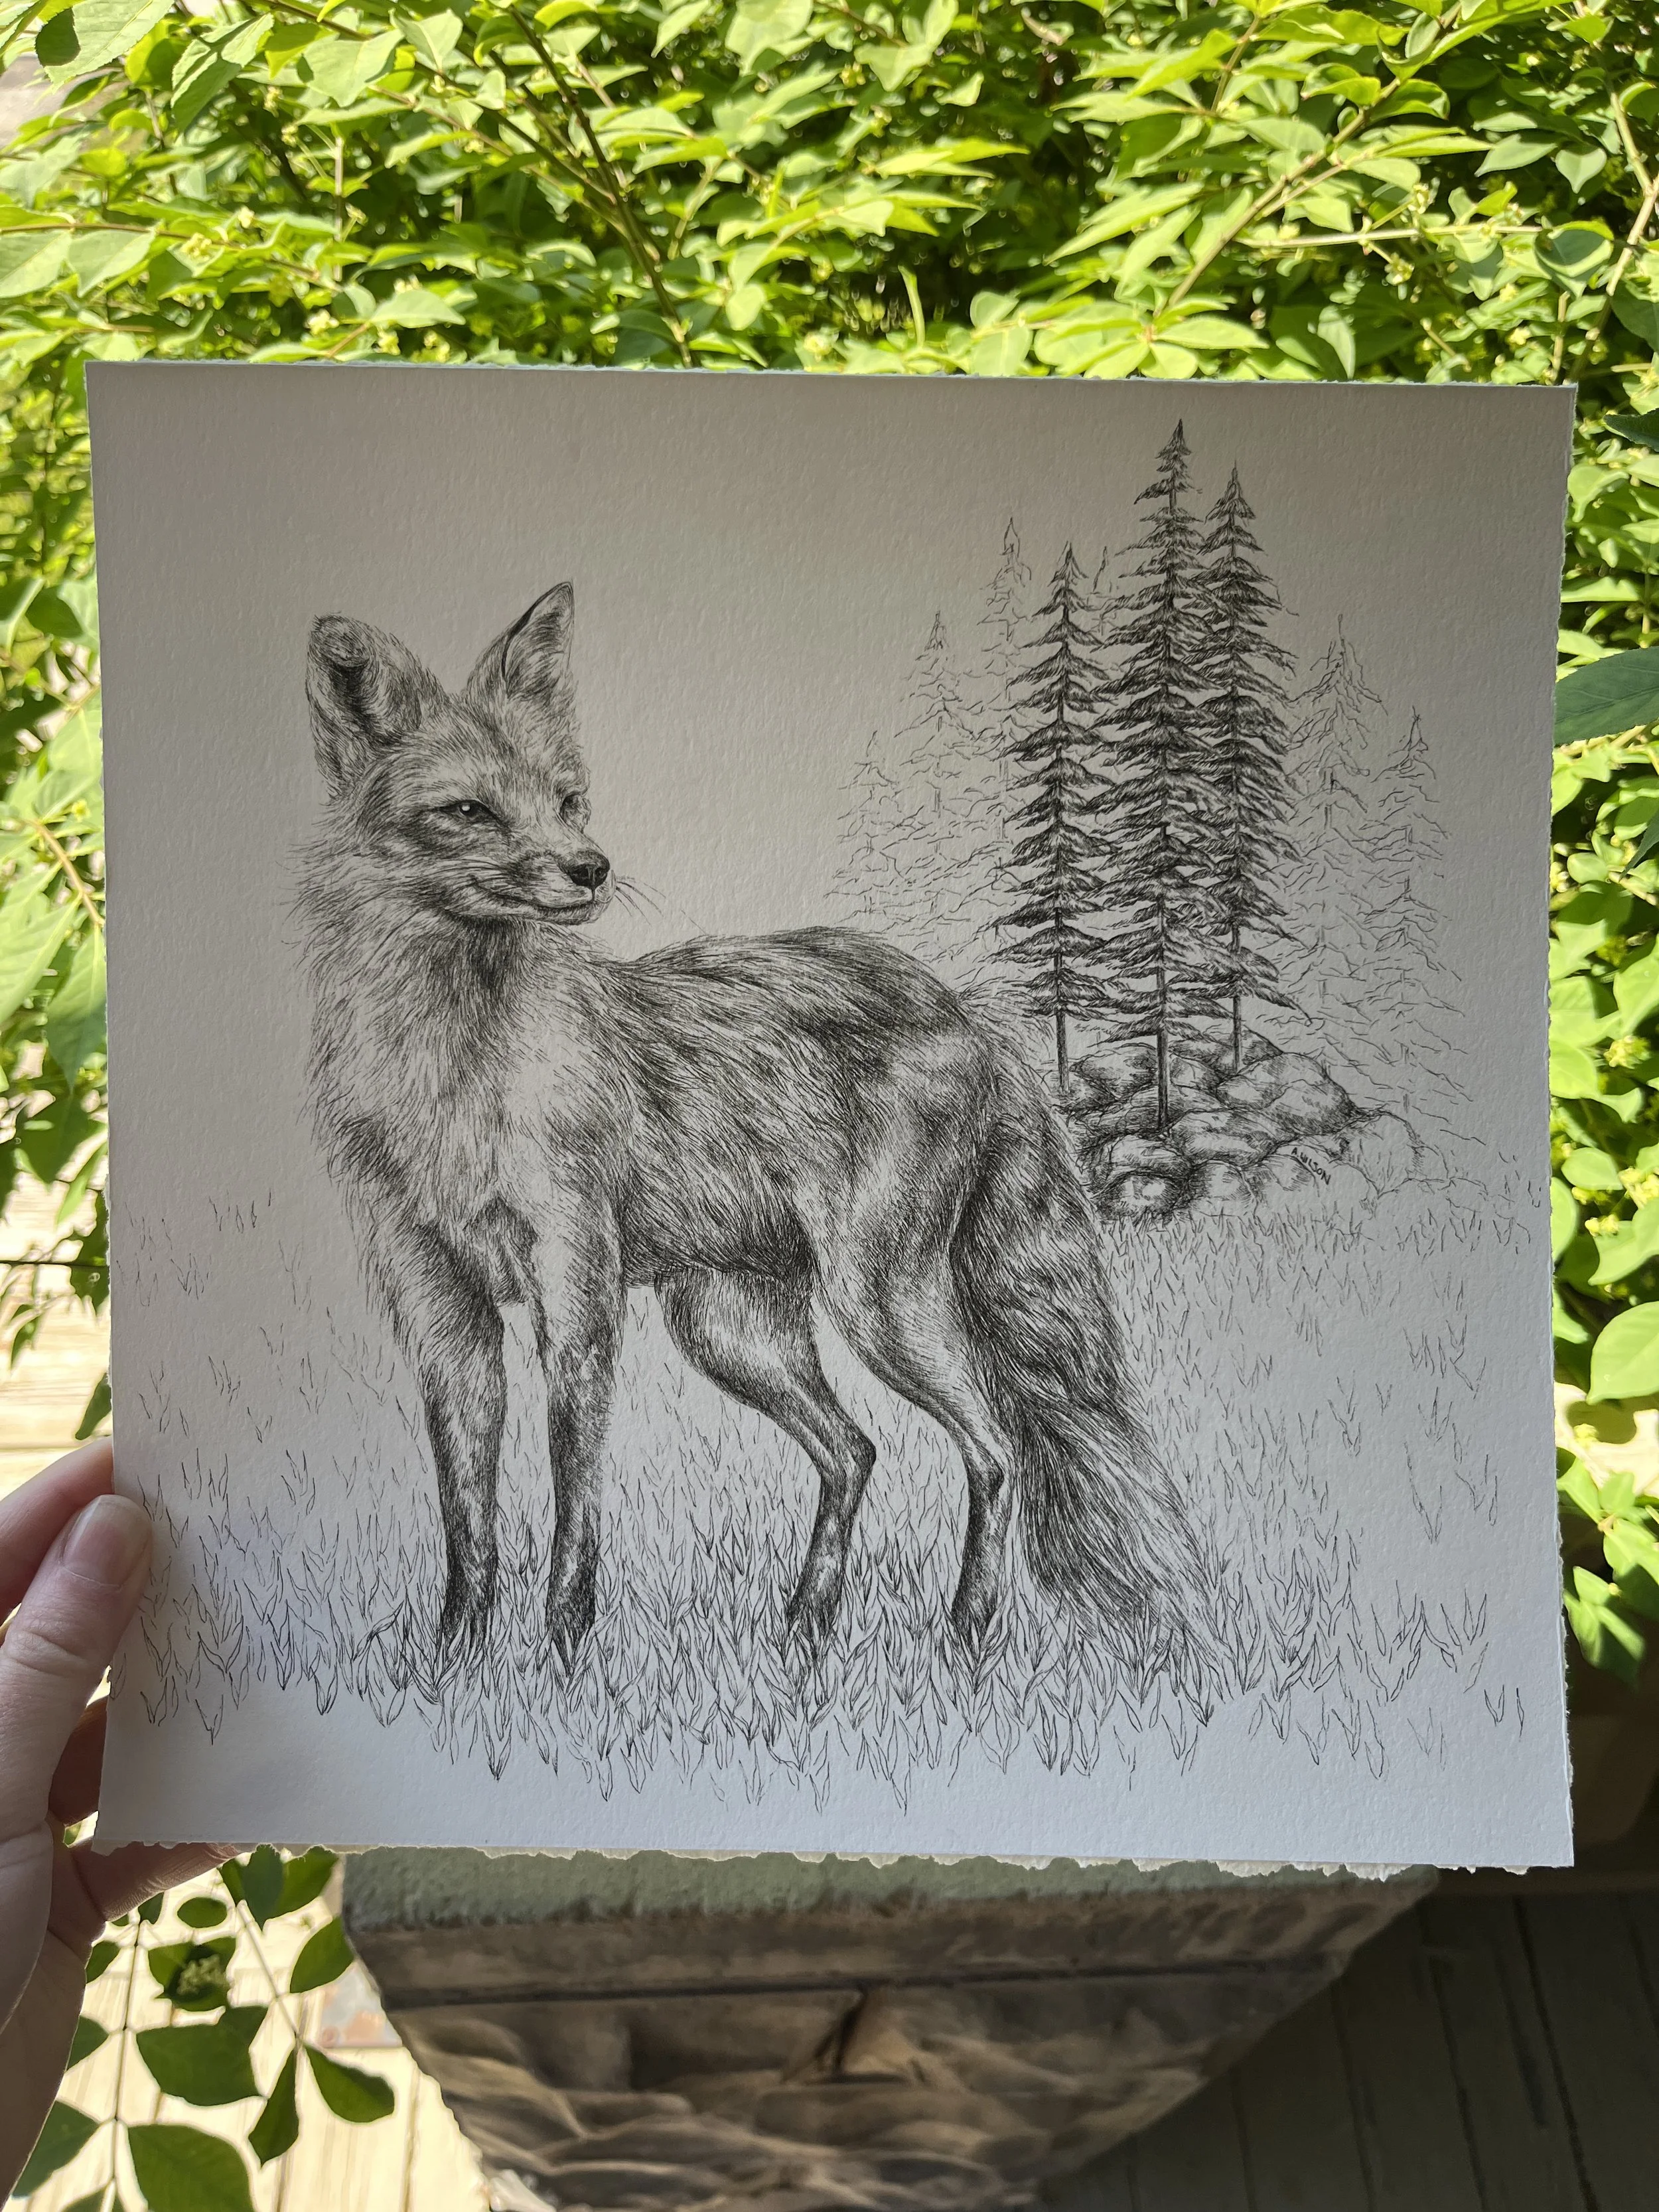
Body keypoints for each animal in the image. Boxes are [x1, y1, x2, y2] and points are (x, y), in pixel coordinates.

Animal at [298, 584, 1214, 1686]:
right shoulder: (445, 1323)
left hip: (874, 1305)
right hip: (733, 1330)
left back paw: (965, 1631)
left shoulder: (578, 1302)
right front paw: (456, 1664)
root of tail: (962, 1003)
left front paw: (562, 1657)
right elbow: (467, 1525)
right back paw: (806, 1630)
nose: (592, 867)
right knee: (856, 1451)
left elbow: (572, 1510)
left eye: (568, 799)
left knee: (992, 1450)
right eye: (470, 810)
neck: (452, 1078)